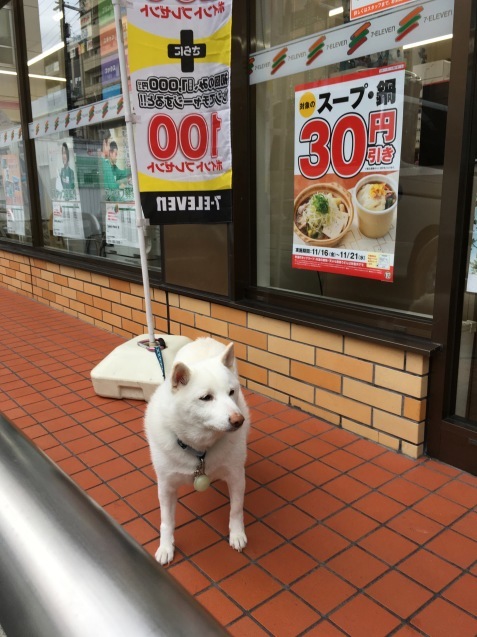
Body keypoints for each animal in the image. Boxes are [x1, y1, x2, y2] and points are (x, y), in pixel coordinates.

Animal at [144, 336, 249, 564]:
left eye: (231, 392)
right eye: (206, 398)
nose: (239, 420)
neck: (200, 449)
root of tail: (204, 339)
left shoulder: (236, 476)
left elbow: (236, 509)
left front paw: (237, 534)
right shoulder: (166, 486)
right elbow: (166, 520)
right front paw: (166, 547)